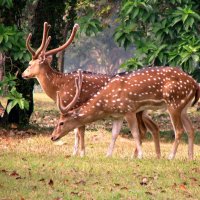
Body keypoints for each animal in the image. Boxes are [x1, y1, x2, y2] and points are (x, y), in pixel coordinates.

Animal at [21, 21, 160, 158]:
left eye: (29, 64)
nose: (23, 74)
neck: (58, 87)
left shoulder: (74, 103)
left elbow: (80, 130)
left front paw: (81, 153)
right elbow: (76, 130)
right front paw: (75, 153)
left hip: (136, 109)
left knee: (143, 129)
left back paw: (136, 155)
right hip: (143, 110)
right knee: (153, 127)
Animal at [52, 67, 200, 159]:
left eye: (61, 122)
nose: (53, 137)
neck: (108, 103)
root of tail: (195, 84)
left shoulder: (129, 110)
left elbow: (135, 133)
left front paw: (140, 155)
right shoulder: (118, 115)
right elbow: (114, 134)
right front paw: (108, 155)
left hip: (174, 103)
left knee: (179, 130)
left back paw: (170, 156)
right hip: (184, 107)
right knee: (191, 128)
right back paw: (190, 157)